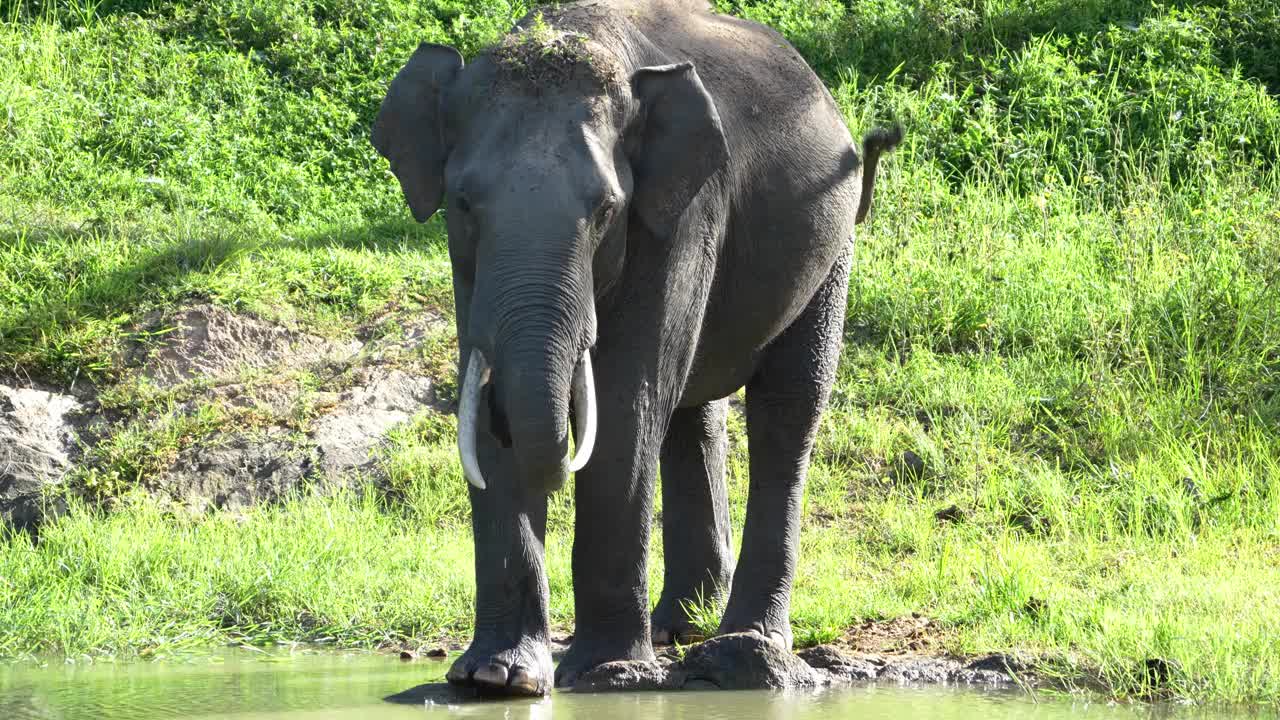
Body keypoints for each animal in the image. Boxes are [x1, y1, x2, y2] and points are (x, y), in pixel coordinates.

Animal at [371, 0, 901, 696]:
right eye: (462, 203)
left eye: (606, 209)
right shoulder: (469, 268)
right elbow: (484, 396)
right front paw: (496, 678)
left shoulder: (682, 212)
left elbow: (627, 404)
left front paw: (608, 674)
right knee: (691, 414)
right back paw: (682, 627)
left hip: (831, 242)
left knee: (785, 410)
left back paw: (748, 646)